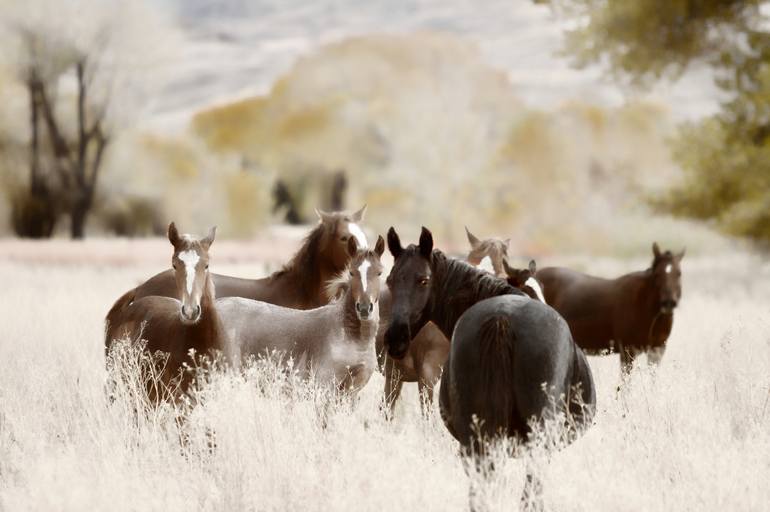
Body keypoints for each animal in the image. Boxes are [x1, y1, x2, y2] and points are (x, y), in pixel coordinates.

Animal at [216, 236, 384, 396]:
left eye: (380, 273)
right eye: (351, 272)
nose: (364, 308)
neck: (354, 339)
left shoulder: (352, 389)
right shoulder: (325, 384)